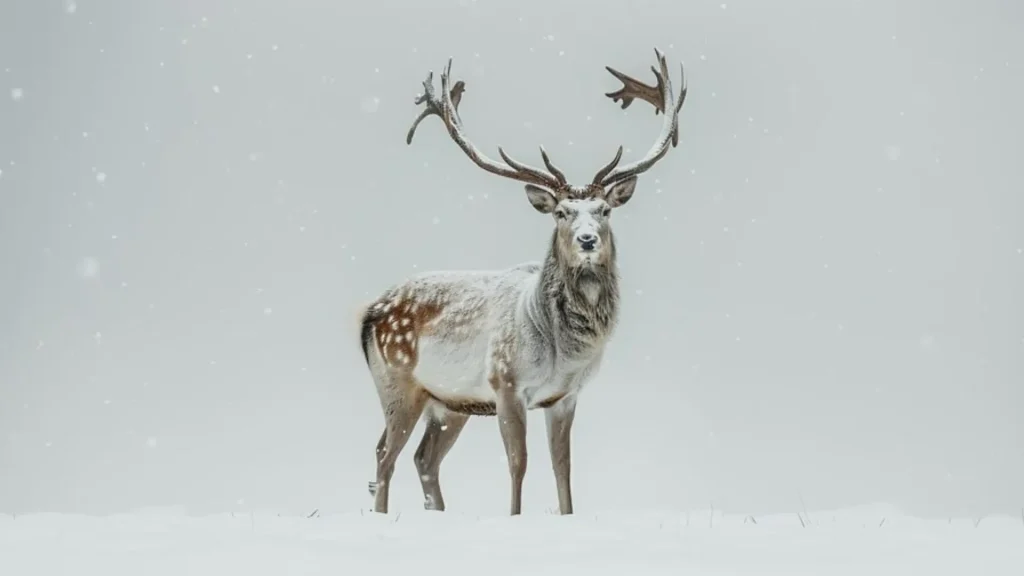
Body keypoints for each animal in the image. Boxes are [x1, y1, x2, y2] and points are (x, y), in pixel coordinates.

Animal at [359, 48, 688, 516]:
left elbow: (562, 466)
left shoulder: (564, 396)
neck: (562, 349)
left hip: (449, 403)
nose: (587, 240)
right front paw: (514, 517)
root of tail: (369, 313)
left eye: (604, 210)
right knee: (385, 455)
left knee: (422, 458)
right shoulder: (506, 384)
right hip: (397, 383)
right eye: (561, 213)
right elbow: (518, 463)